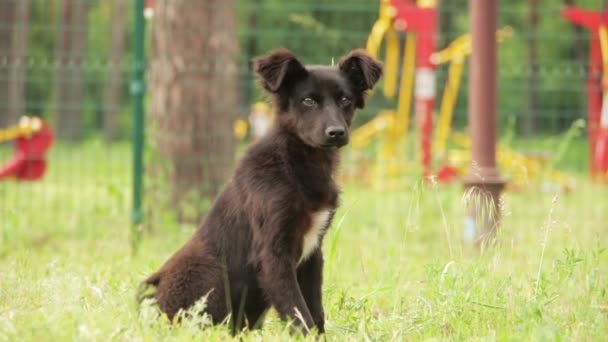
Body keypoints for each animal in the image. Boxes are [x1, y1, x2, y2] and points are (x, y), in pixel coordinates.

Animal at [140, 48, 382, 334]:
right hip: (210, 271)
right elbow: (298, 310)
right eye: (308, 101)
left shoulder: (313, 252)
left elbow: (315, 310)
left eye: (345, 99)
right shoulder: (273, 252)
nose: (336, 132)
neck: (296, 163)